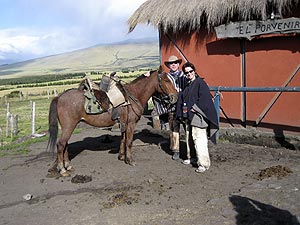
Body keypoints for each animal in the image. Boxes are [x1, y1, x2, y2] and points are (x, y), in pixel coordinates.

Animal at [47, 68, 178, 176]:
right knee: (61, 144)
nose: (175, 97)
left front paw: (121, 156)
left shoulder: (124, 124)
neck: (133, 96)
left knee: (65, 144)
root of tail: (59, 97)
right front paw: (130, 160)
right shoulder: (131, 124)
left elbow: (123, 140)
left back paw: (68, 166)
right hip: (69, 126)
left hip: (68, 127)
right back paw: (62, 169)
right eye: (166, 80)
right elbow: (129, 142)